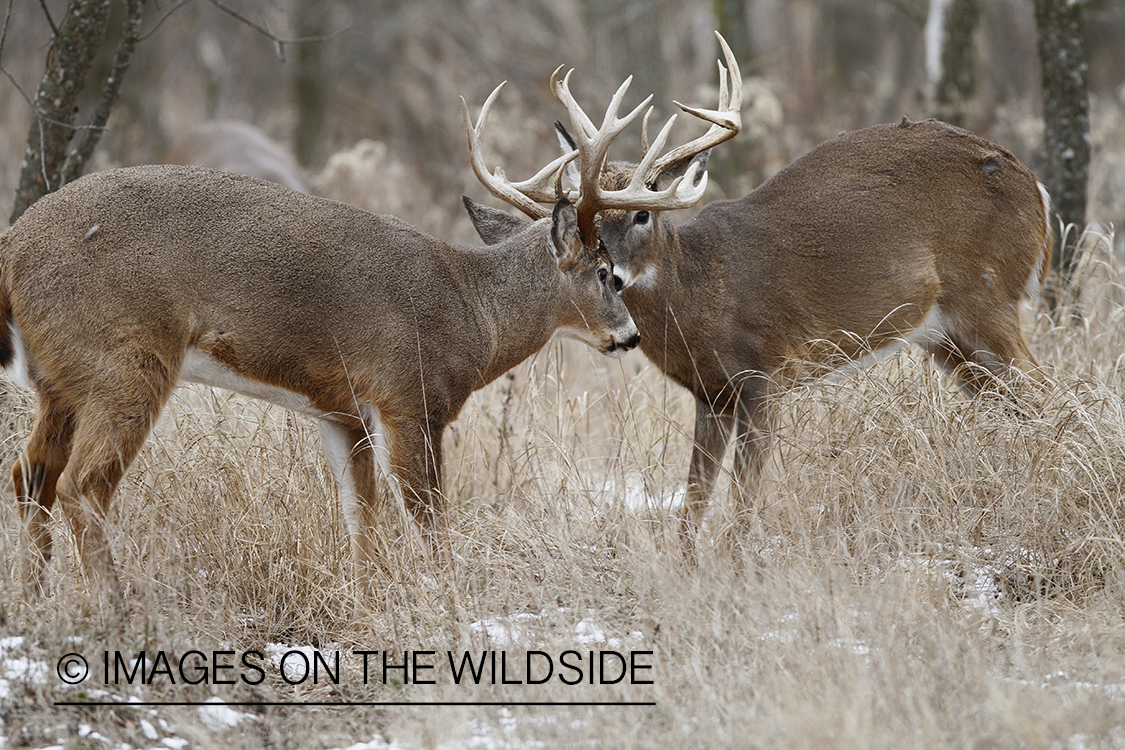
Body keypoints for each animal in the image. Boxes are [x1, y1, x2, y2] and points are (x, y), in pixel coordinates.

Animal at [0, 64, 720, 611]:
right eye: (605, 273)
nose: (627, 335)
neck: (474, 310)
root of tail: (15, 246)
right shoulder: (410, 396)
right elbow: (428, 520)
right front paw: (446, 601)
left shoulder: (341, 410)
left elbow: (360, 522)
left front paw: (367, 601)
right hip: (124, 358)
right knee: (82, 484)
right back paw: (117, 611)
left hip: (58, 377)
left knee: (30, 473)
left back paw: (32, 601)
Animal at [461, 32, 1048, 559]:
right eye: (588, 237)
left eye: (641, 213)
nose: (616, 277)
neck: (702, 298)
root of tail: (1035, 188)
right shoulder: (711, 394)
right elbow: (694, 499)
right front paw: (685, 566)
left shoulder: (766, 374)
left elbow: (743, 497)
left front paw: (735, 563)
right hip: (944, 337)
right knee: (1014, 401)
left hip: (987, 294)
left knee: (1047, 388)